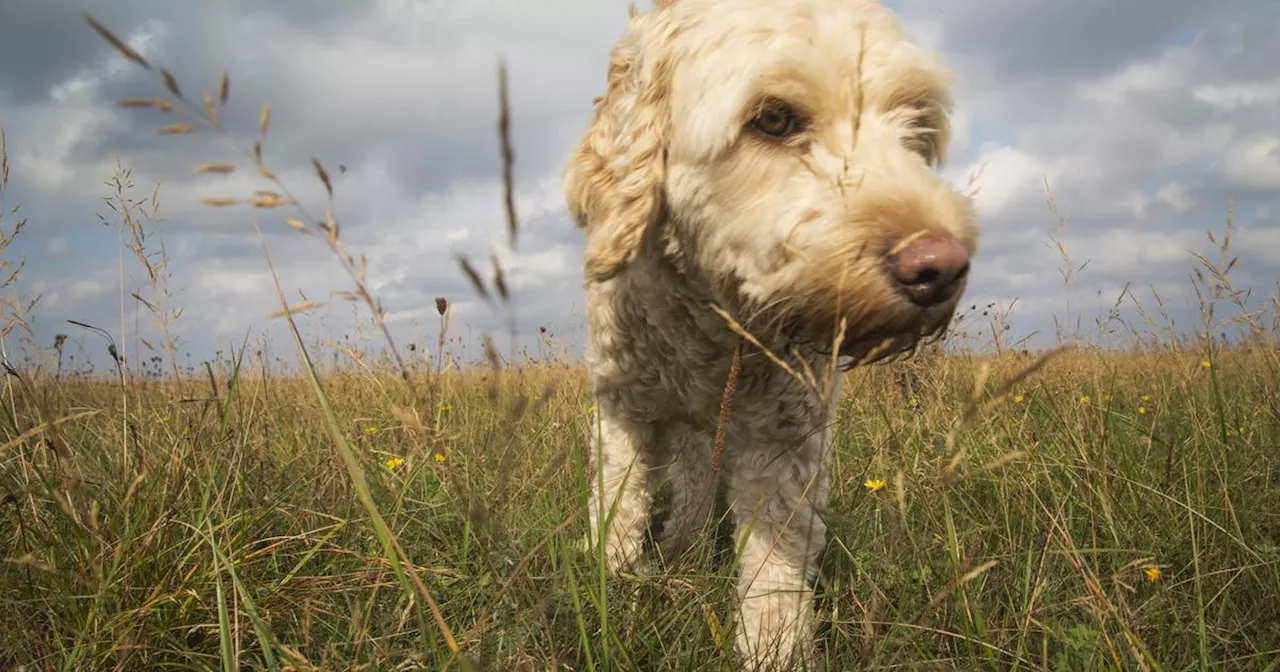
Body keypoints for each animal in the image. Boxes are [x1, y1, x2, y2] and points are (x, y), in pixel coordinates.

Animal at [565, 0, 972, 660]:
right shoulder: (621, 408)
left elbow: (775, 573)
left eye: (915, 128)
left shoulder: (788, 435)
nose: (939, 269)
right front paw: (613, 578)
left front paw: (774, 651)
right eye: (774, 118)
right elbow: (619, 504)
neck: (710, 320)